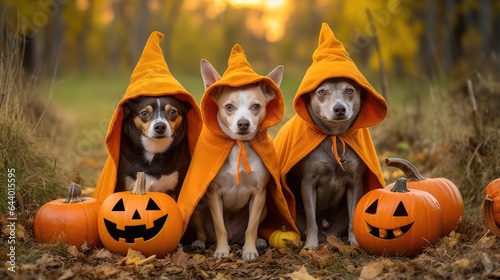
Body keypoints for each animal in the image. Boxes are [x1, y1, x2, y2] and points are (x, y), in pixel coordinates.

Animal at [189, 58, 284, 260]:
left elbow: (251, 227)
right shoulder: (214, 194)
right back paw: (199, 242)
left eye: (256, 106)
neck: (239, 146)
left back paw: (257, 241)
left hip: (264, 208)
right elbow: (220, 227)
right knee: (203, 232)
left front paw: (250, 250)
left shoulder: (259, 194)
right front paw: (222, 250)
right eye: (229, 107)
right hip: (197, 209)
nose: (243, 123)